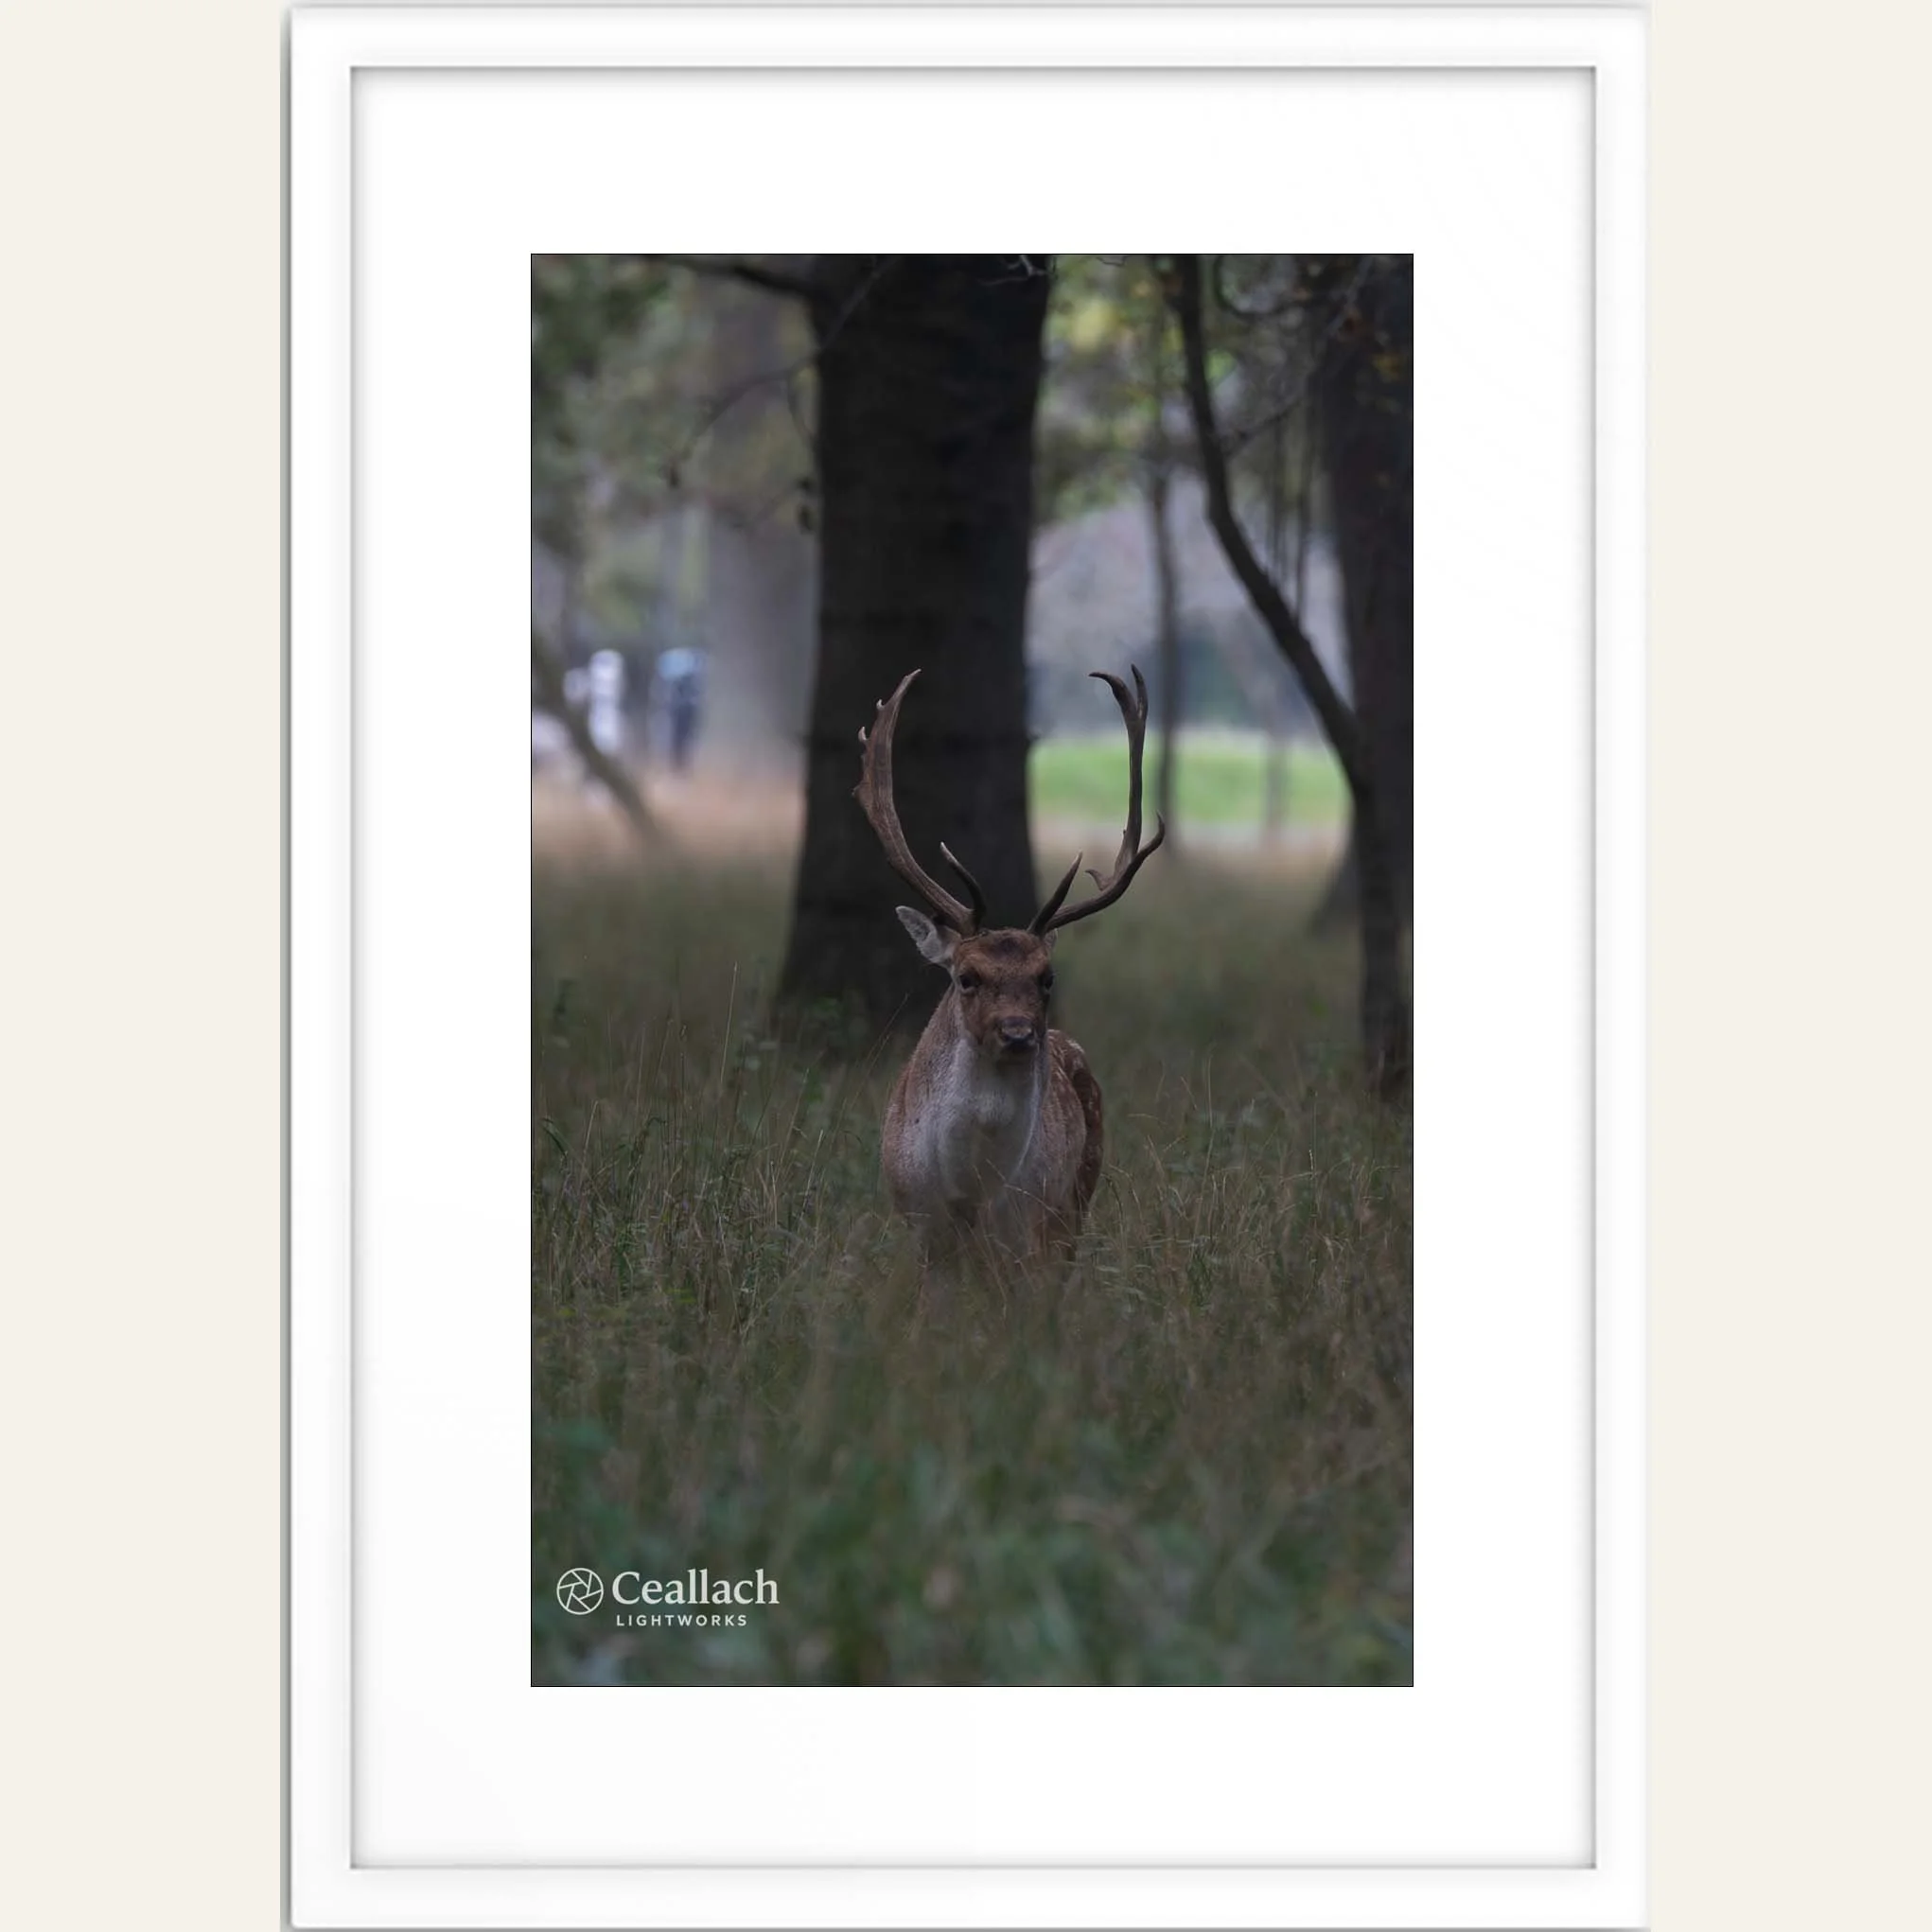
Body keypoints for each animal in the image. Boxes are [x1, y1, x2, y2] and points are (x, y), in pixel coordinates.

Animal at [854, 665, 1166, 1277]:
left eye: (1048, 977)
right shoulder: (919, 1223)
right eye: (965, 977)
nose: (1019, 1033)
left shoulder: (1035, 1229)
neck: (971, 1190)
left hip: (1077, 1198)